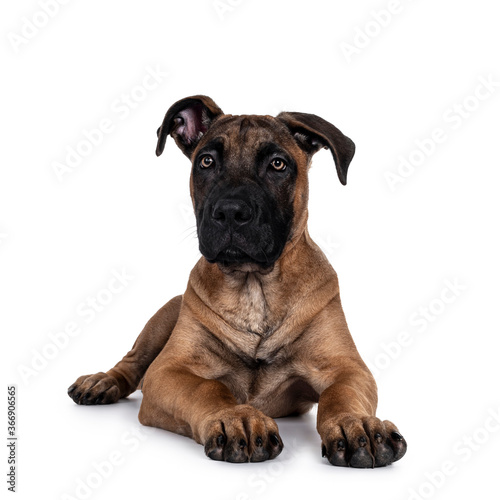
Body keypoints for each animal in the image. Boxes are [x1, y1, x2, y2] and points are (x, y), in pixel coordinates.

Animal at [68, 95, 408, 466]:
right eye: (206, 161)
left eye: (277, 164)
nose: (230, 211)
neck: (254, 287)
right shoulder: (168, 370)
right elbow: (208, 387)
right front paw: (237, 418)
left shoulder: (347, 368)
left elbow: (341, 393)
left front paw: (355, 424)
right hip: (166, 315)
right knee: (131, 363)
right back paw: (101, 382)